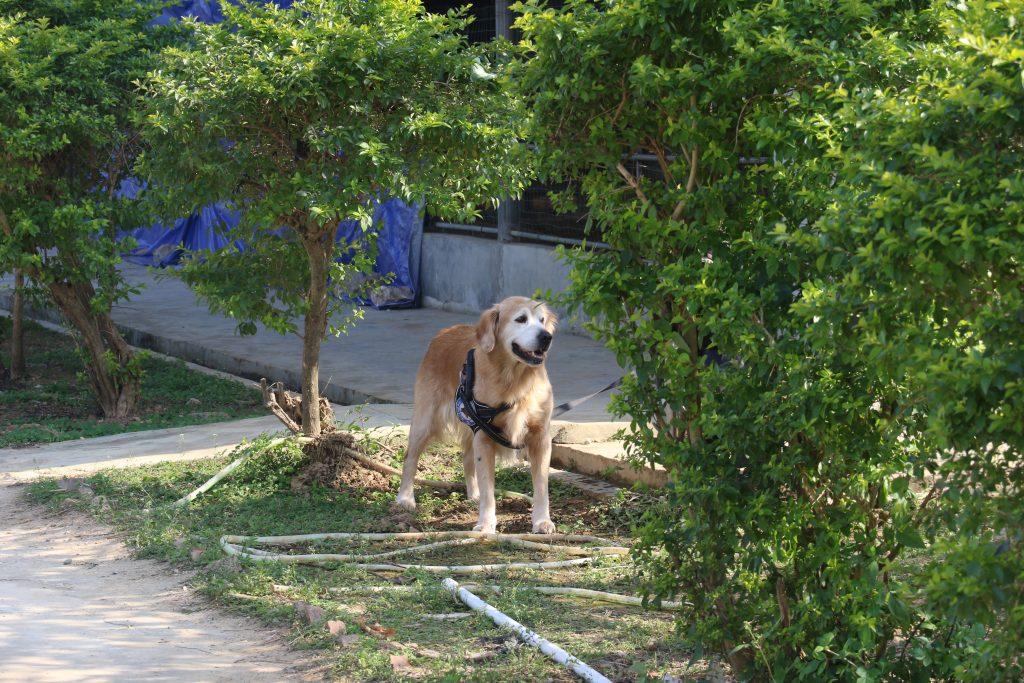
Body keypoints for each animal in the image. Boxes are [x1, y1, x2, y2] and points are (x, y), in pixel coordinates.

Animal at [395, 296, 561, 536]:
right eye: (521, 319)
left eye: (542, 321)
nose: (546, 337)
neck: (514, 381)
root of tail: (445, 331)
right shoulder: (484, 435)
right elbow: (488, 488)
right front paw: (486, 523)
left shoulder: (540, 437)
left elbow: (541, 486)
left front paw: (541, 521)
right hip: (425, 420)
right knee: (410, 457)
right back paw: (405, 497)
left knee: (466, 458)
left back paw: (473, 494)